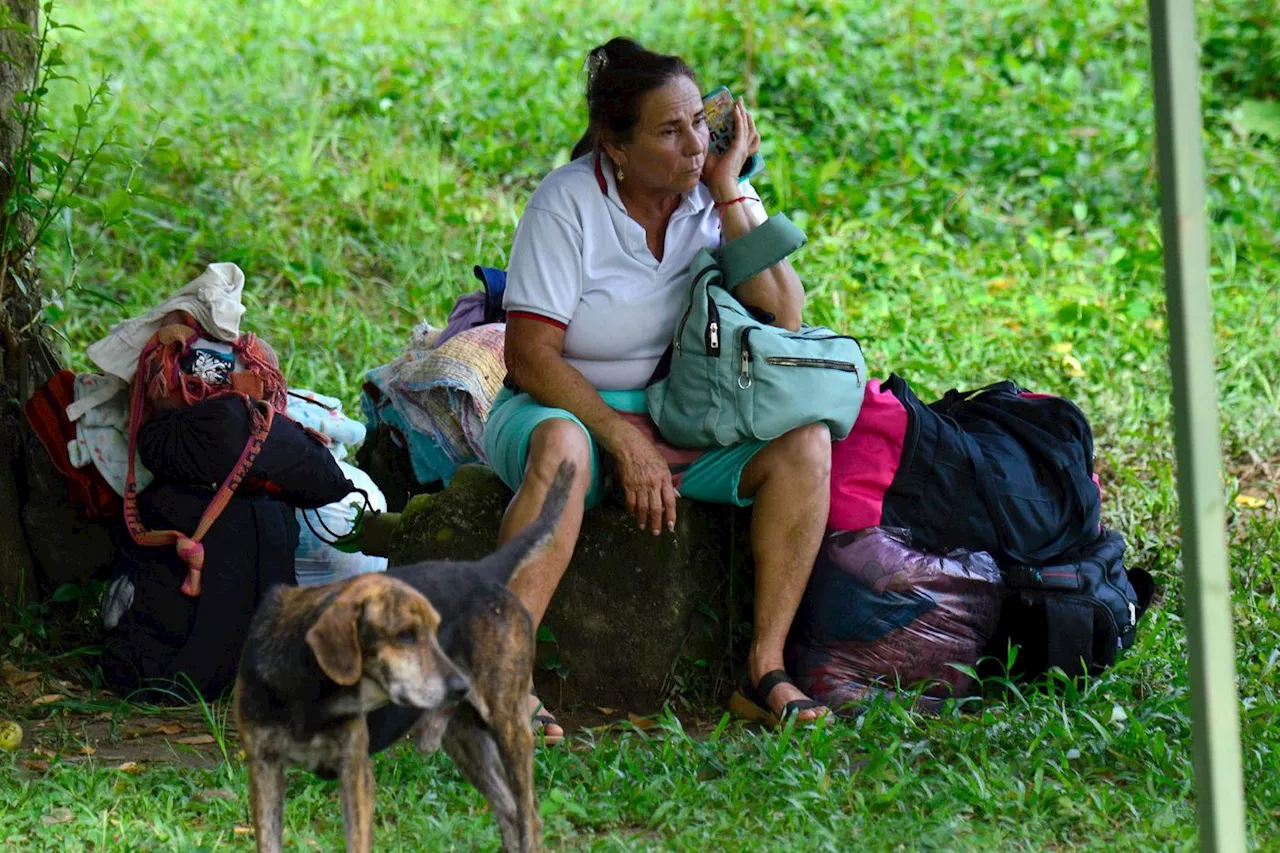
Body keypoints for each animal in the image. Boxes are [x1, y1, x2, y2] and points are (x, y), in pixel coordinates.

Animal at [232, 571, 468, 850]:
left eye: (435, 633)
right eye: (405, 635)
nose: (462, 687)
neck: (312, 696)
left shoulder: (355, 768)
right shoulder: (264, 766)